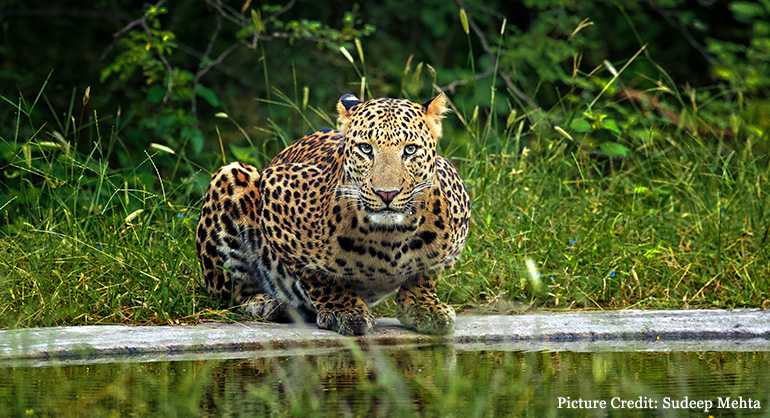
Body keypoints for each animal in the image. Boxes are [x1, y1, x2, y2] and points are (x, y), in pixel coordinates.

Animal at [194, 92, 468, 336]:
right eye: (366, 149)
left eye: (410, 150)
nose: (386, 194)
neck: (391, 238)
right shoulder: (275, 190)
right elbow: (315, 273)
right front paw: (344, 310)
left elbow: (425, 272)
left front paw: (424, 306)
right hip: (232, 175)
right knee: (235, 291)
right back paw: (269, 303)